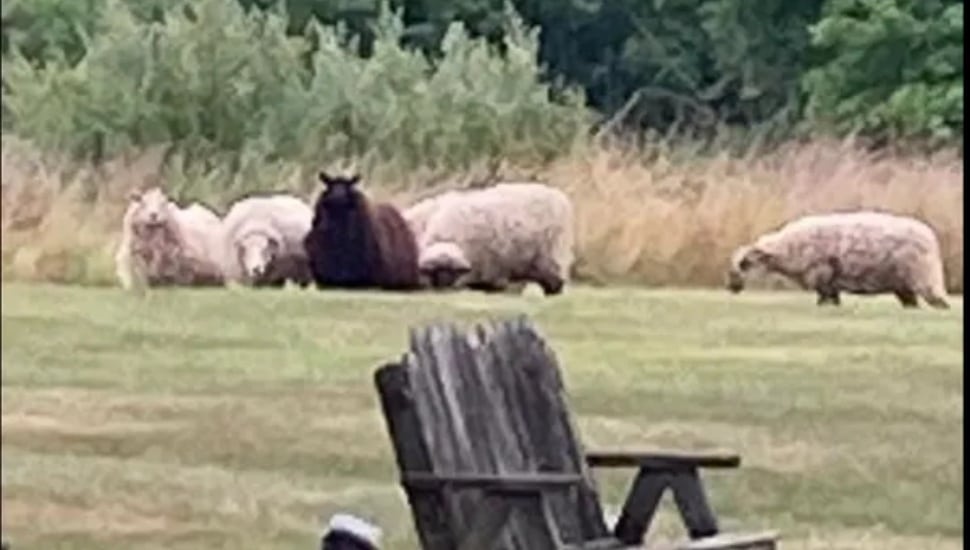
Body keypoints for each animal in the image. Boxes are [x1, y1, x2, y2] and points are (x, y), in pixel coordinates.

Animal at [416, 183, 576, 298]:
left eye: (450, 271)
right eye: (436, 272)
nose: (443, 289)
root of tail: (557, 194)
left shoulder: (491, 264)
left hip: (551, 254)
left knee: (555, 280)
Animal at [728, 210, 944, 308]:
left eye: (744, 263)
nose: (732, 288)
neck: (786, 248)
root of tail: (930, 238)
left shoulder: (822, 277)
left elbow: (825, 301)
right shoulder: (829, 282)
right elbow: (831, 301)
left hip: (923, 278)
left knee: (938, 302)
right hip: (903, 285)